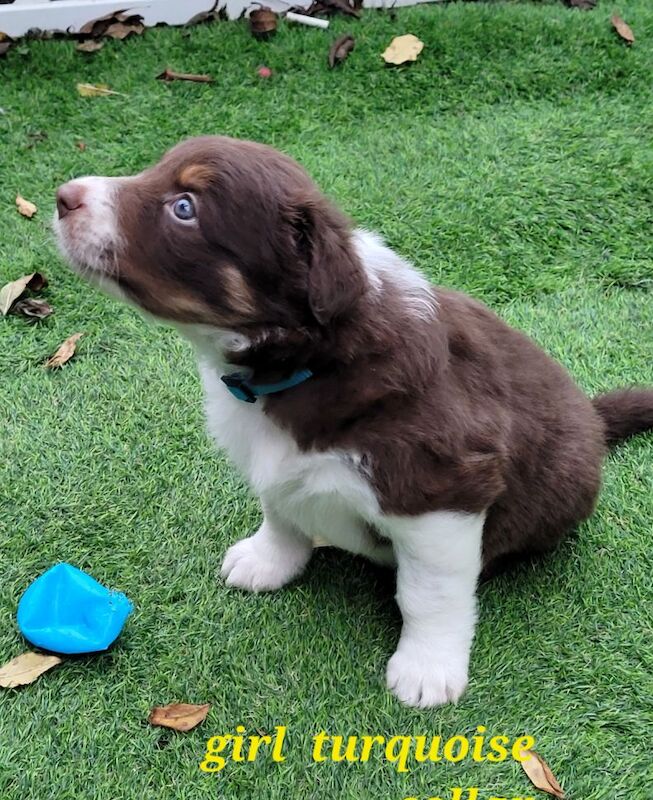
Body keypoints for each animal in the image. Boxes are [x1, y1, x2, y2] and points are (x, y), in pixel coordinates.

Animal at [53, 136, 652, 708]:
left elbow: (428, 593)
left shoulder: (443, 490)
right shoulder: (278, 466)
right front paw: (267, 562)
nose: (63, 195)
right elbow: (280, 513)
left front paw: (427, 669)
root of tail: (593, 420)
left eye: (184, 207)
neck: (309, 363)